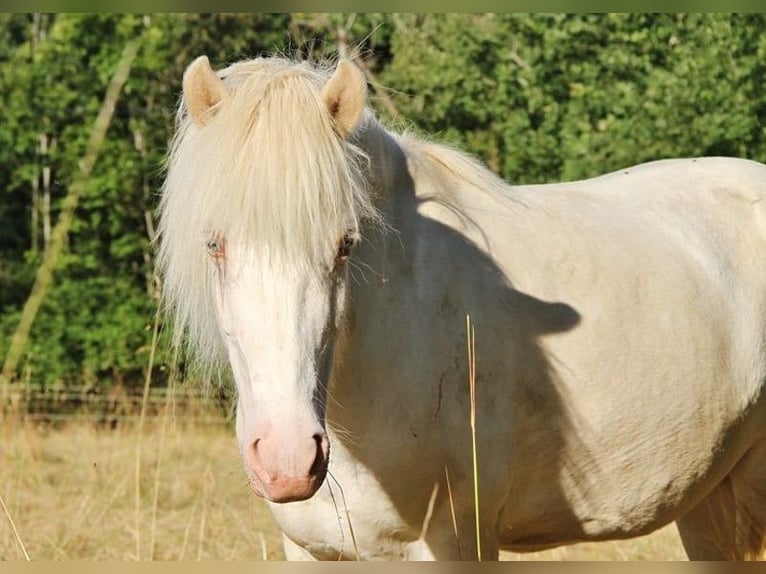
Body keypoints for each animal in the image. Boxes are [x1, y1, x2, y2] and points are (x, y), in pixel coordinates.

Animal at [157, 54, 766, 561]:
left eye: (345, 244)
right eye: (213, 245)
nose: (288, 461)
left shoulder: (456, 544)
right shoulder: (312, 552)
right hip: (710, 502)